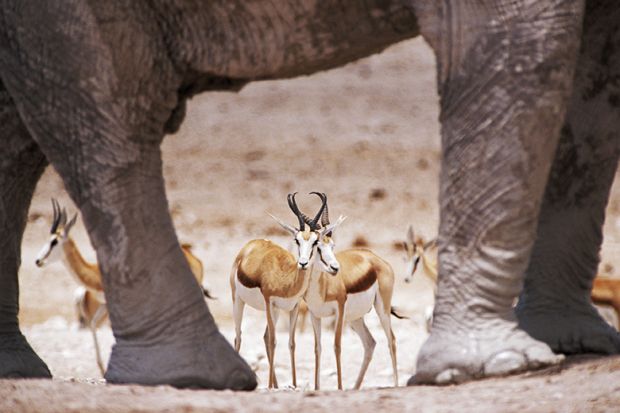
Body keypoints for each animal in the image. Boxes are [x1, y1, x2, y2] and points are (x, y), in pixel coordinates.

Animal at [36, 198, 211, 374]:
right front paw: (103, 369)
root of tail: (194, 258)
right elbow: (94, 324)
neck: (96, 273)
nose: (38, 261)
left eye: (54, 241)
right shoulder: (105, 305)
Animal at [230, 192, 342, 388]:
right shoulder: (269, 302)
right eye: (297, 240)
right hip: (239, 301)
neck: (286, 280)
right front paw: (269, 386)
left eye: (315, 242)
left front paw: (295, 384)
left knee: (265, 336)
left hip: (274, 311)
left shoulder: (294, 307)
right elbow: (274, 341)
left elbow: (291, 342)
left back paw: (275, 384)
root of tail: (250, 246)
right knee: (239, 337)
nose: (303, 263)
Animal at [304, 192, 402, 388]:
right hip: (355, 318)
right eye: (315, 245)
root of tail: (377, 259)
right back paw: (355, 387)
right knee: (370, 343)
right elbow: (318, 348)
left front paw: (339, 387)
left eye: (331, 245)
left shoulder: (339, 311)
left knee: (392, 340)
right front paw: (317, 388)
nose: (335, 268)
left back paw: (395, 385)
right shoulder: (314, 315)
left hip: (381, 310)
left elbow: (337, 346)